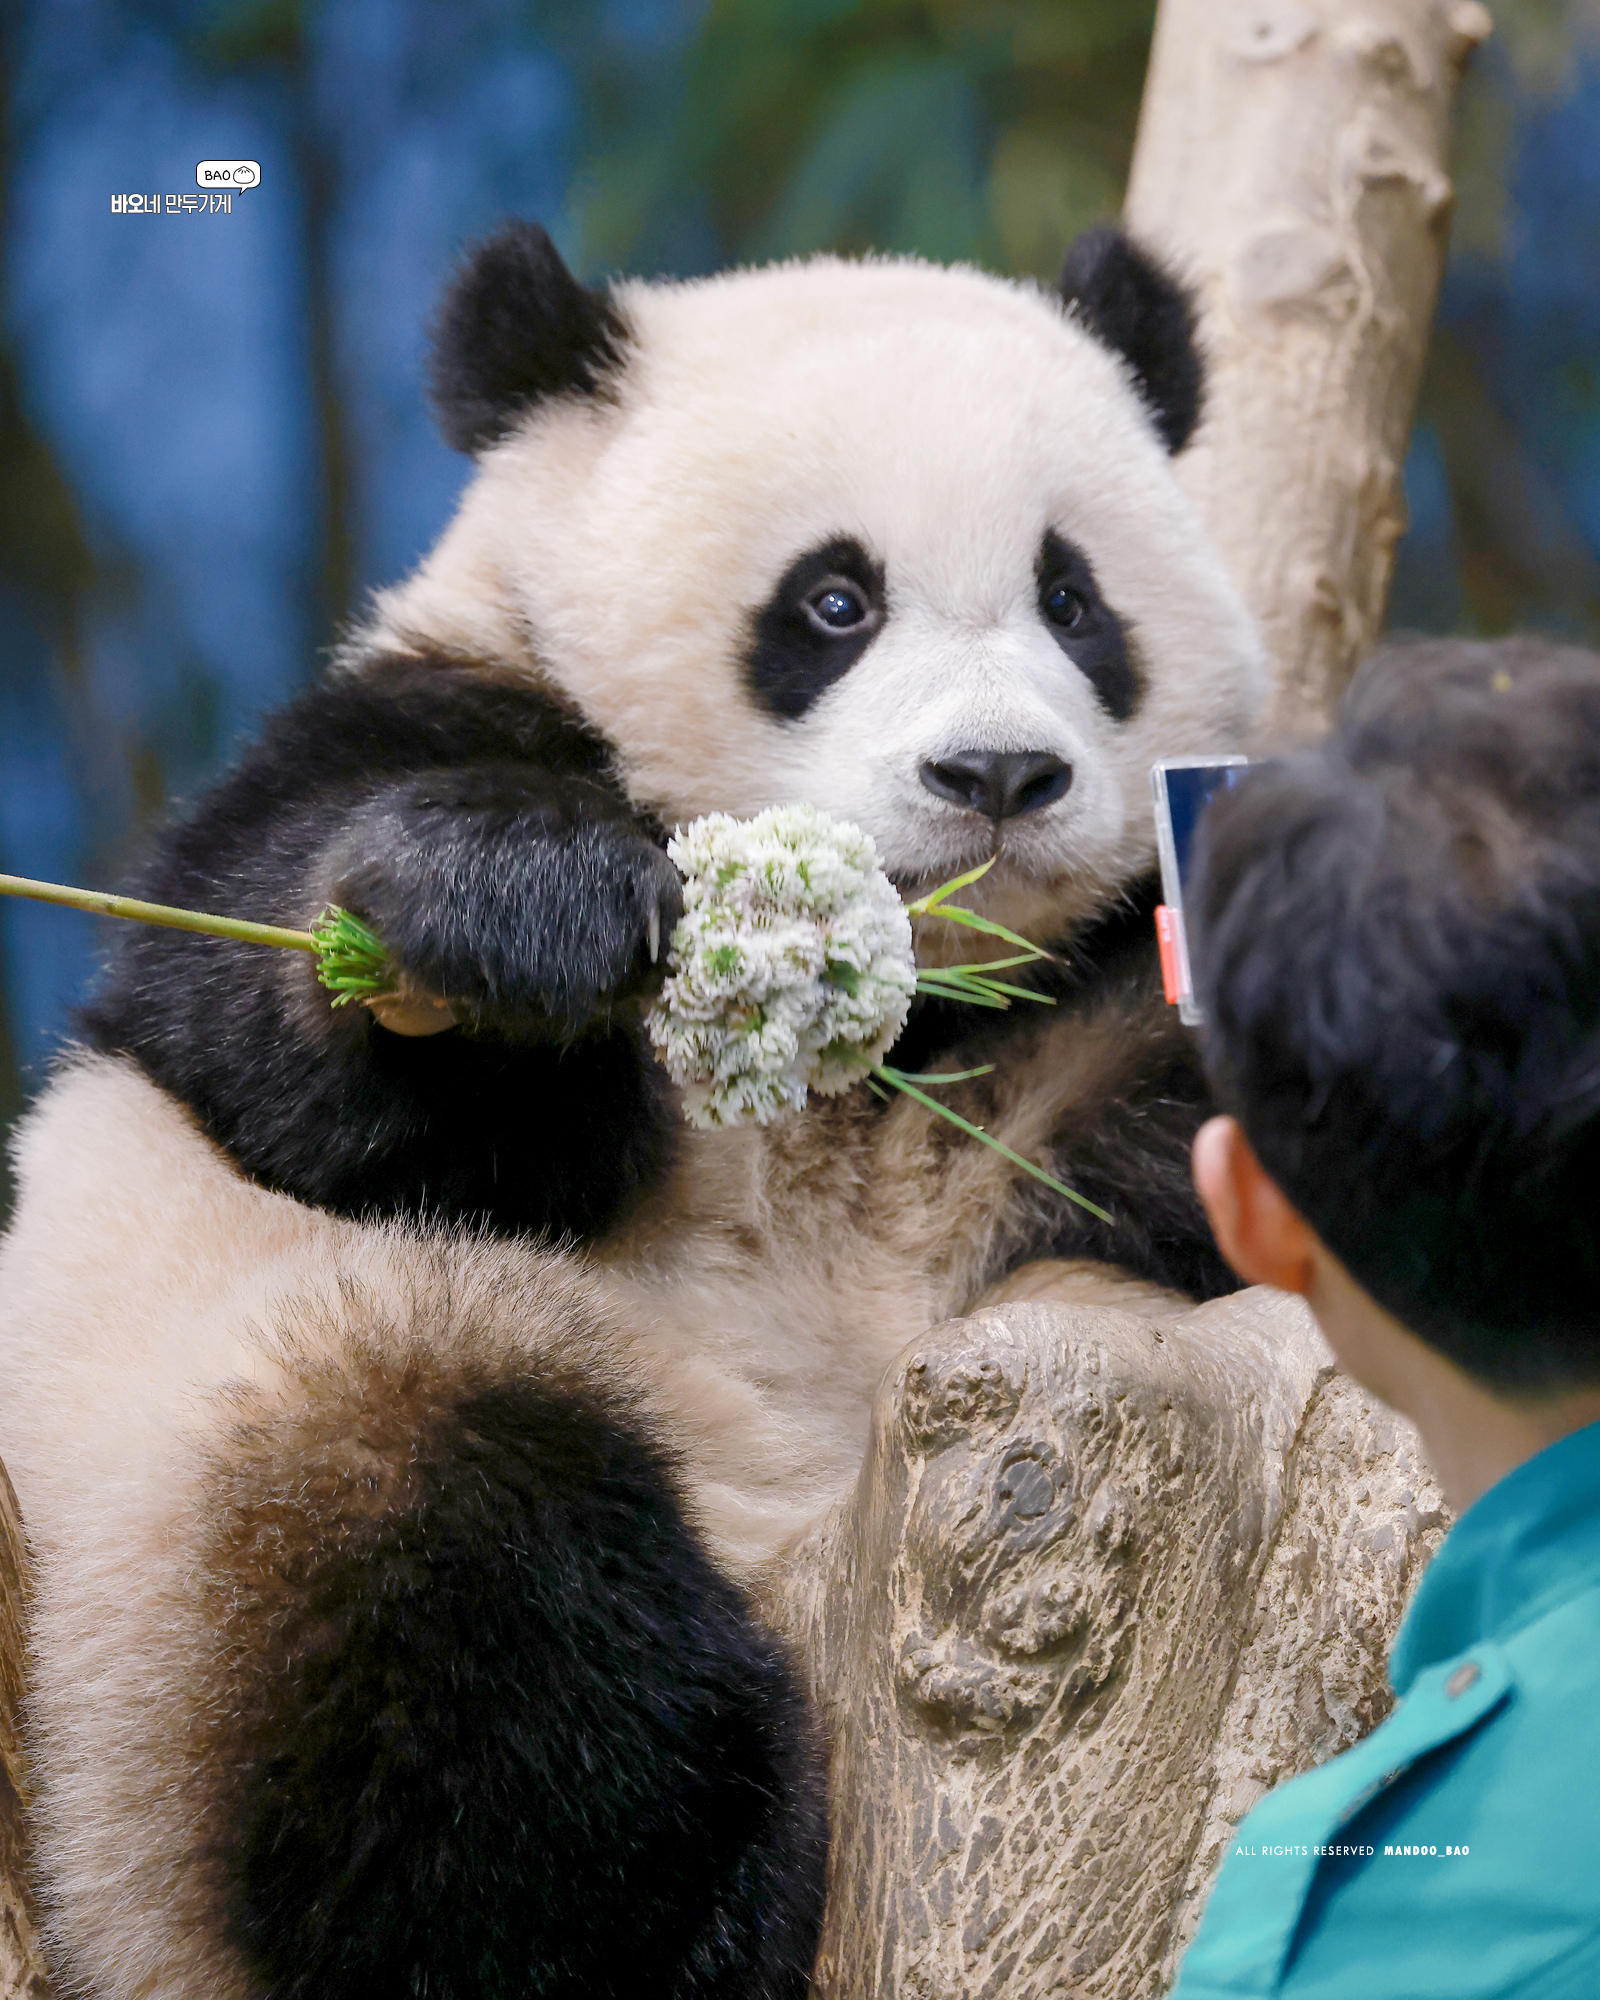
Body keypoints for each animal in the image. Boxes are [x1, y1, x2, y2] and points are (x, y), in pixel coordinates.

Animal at [0, 223, 1272, 2000]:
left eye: (1076, 601)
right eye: (833, 601)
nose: (1000, 779)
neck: (880, 1042)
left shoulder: (1051, 1060)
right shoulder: (423, 719)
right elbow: (265, 1021)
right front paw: (511, 917)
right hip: (199, 1505)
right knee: (459, 1580)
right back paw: (694, 1903)